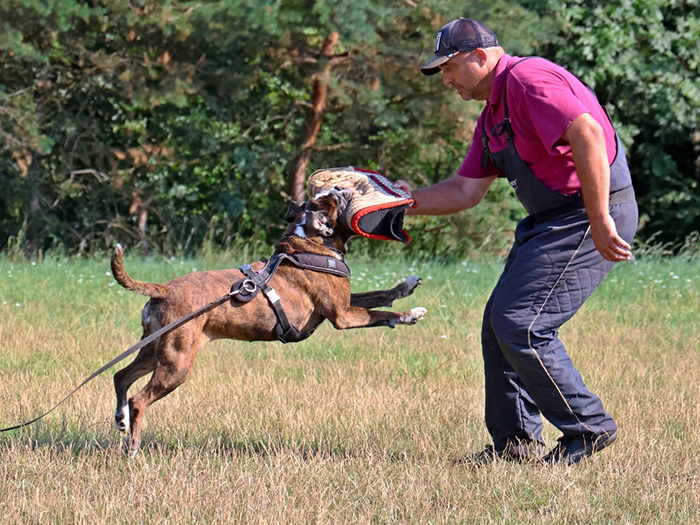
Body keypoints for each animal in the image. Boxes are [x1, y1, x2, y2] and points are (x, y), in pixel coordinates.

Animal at [112, 188, 424, 454]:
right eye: (333, 201)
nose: (339, 189)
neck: (308, 244)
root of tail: (163, 290)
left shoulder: (345, 303)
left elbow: (378, 295)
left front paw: (405, 287)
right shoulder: (344, 316)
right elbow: (381, 314)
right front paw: (409, 315)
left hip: (155, 350)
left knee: (121, 376)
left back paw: (121, 419)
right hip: (176, 363)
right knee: (139, 399)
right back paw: (134, 446)